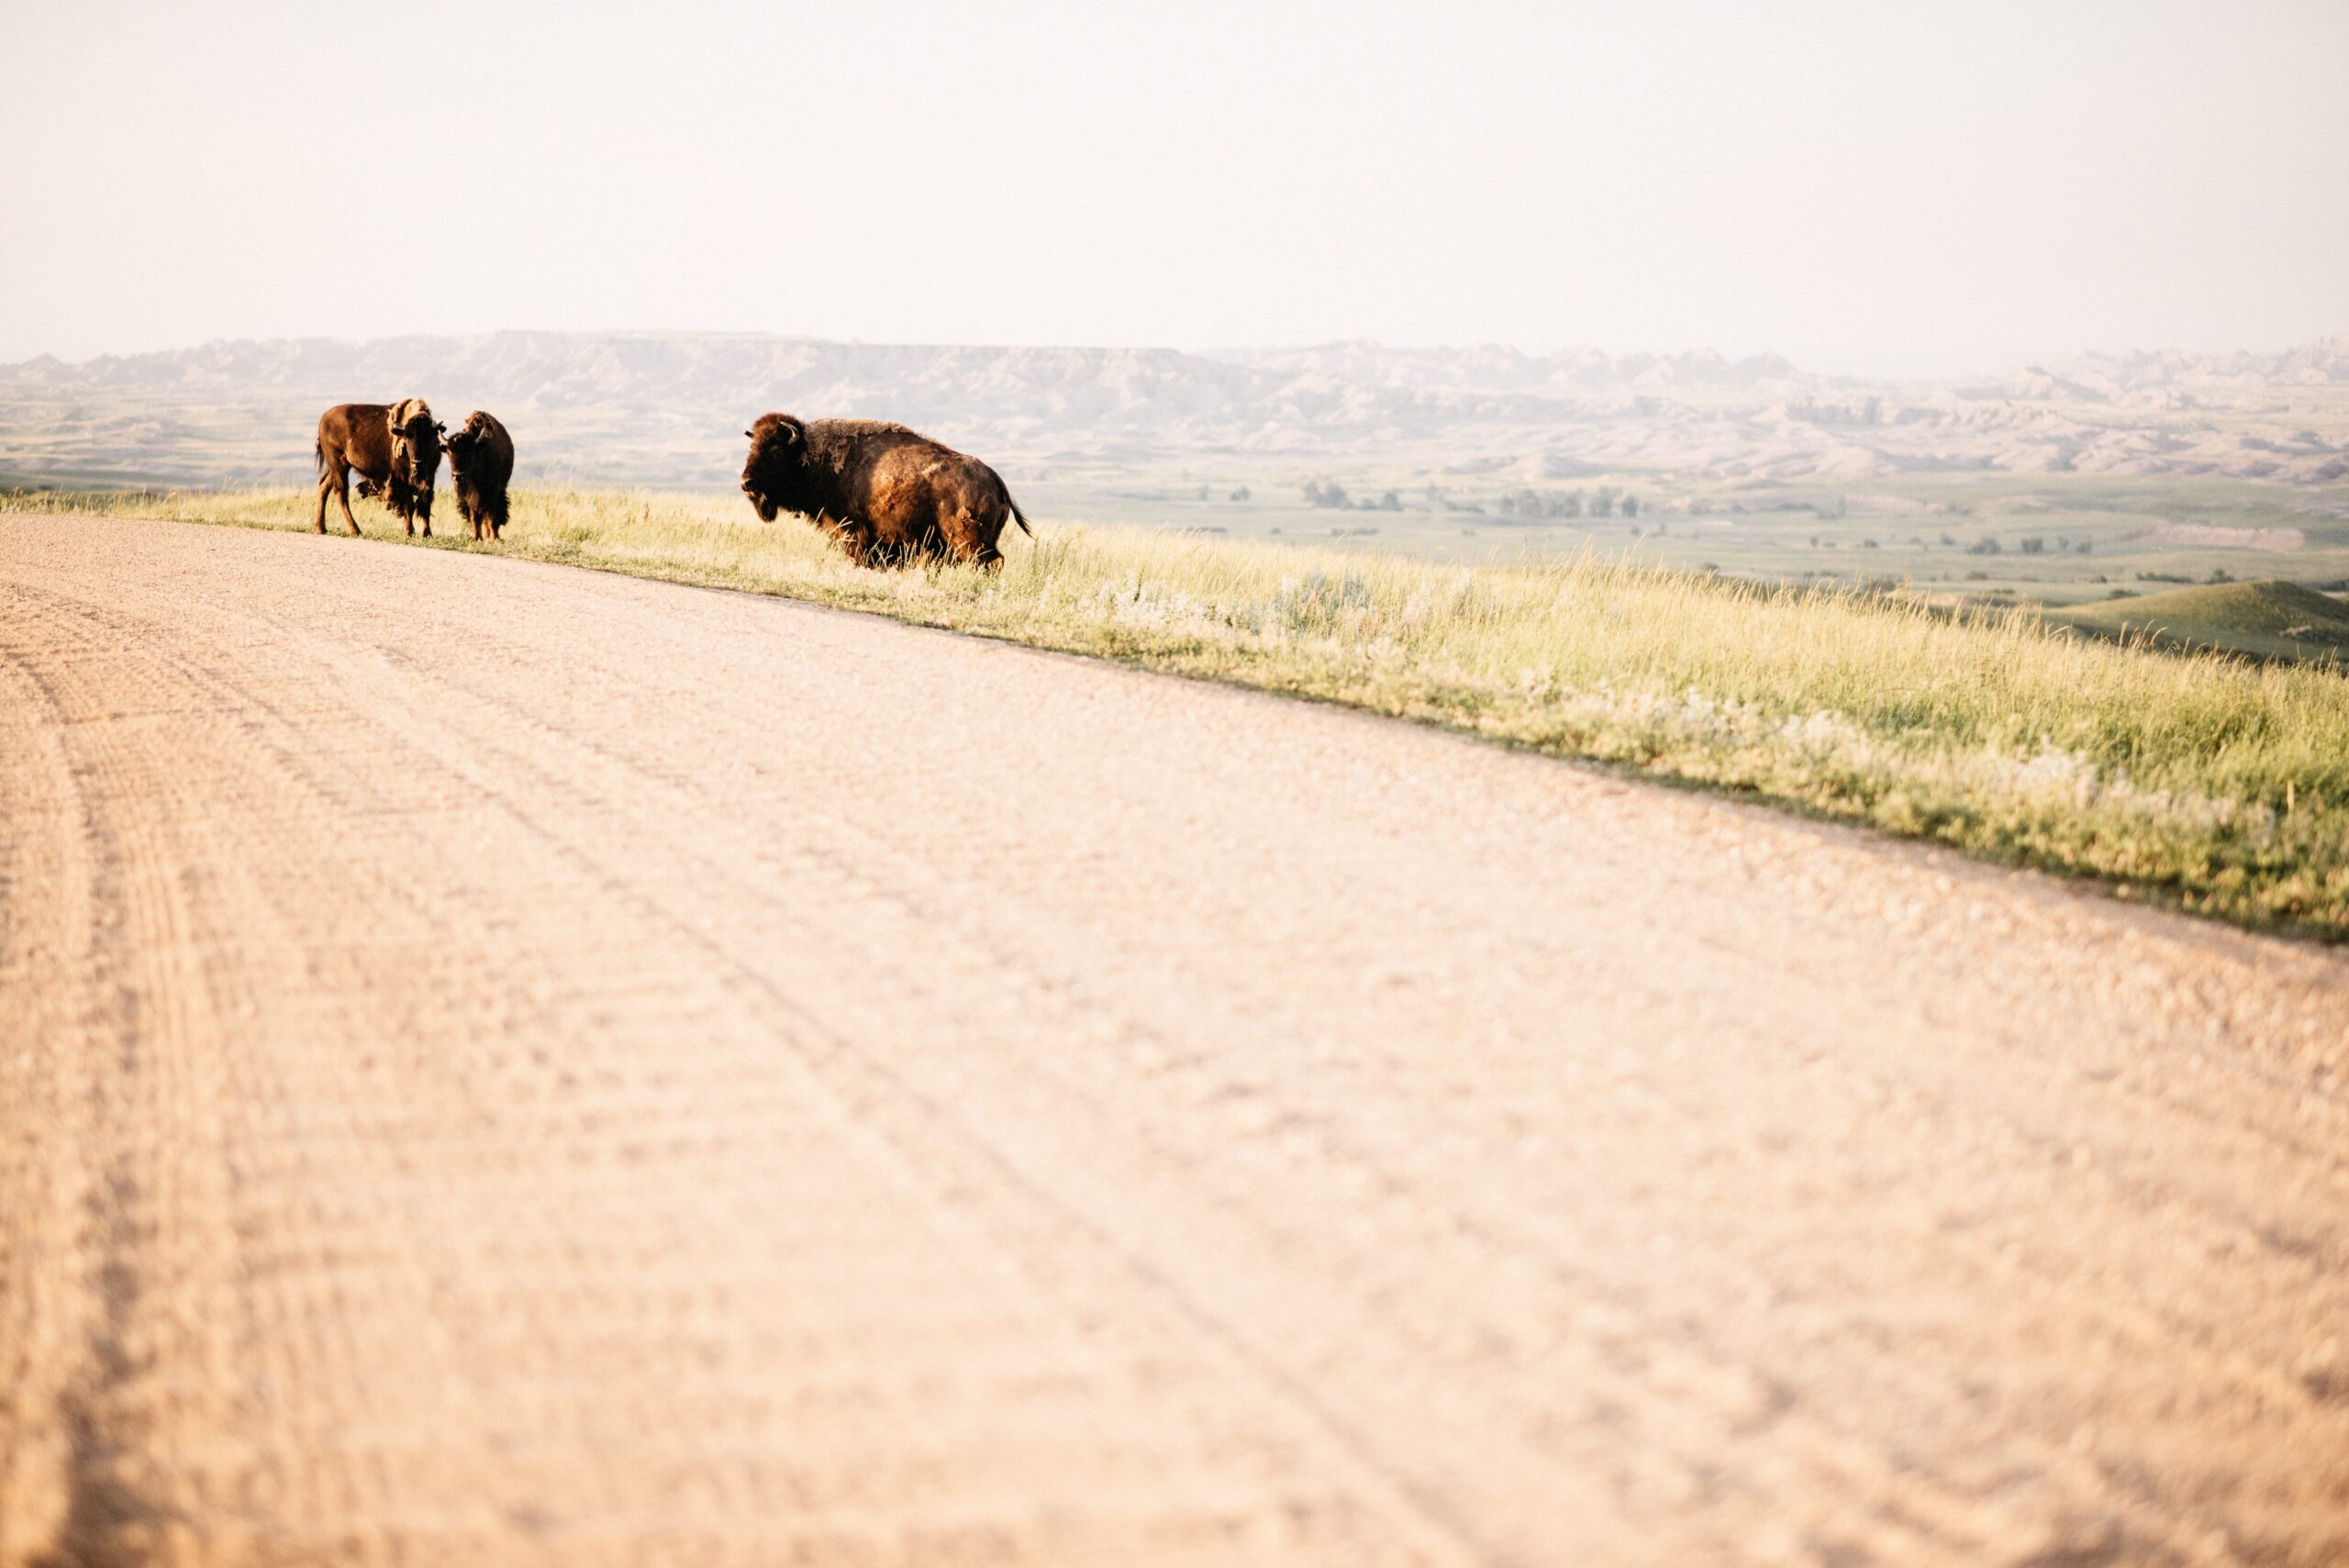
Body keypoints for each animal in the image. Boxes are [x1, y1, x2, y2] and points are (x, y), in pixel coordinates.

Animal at [315, 399, 443, 536]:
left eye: (428, 436)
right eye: (407, 437)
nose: (417, 461)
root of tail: (323, 420)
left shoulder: (430, 477)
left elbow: (425, 505)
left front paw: (427, 533)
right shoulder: (403, 478)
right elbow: (409, 505)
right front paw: (409, 531)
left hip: (337, 467)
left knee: (324, 487)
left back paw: (321, 528)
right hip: (339, 465)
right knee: (341, 492)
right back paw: (355, 530)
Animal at [441, 410, 515, 541]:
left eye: (469, 453)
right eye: (449, 453)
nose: (457, 476)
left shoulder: (493, 491)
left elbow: (492, 518)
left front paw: (494, 539)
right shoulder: (469, 496)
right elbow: (475, 517)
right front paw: (477, 537)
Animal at [740, 414, 1032, 569]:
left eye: (776, 452)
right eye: (752, 447)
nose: (746, 482)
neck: (812, 456)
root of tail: (994, 478)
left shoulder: (851, 531)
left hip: (969, 541)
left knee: (989, 562)